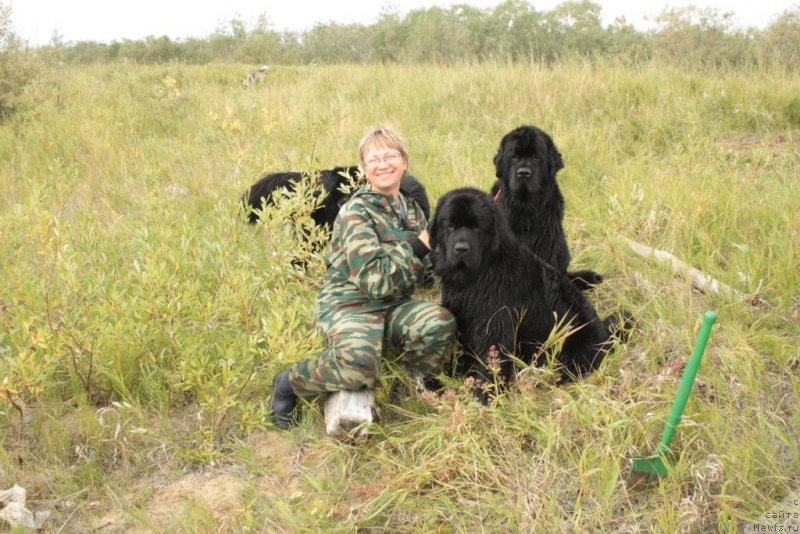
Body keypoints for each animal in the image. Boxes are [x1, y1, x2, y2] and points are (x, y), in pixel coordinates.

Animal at [428, 187, 628, 402]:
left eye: (476, 227)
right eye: (450, 226)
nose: (461, 249)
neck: (480, 274)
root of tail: (607, 337)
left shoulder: (495, 325)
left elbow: (493, 362)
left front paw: (487, 397)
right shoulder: (463, 319)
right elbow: (463, 354)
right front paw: (452, 378)